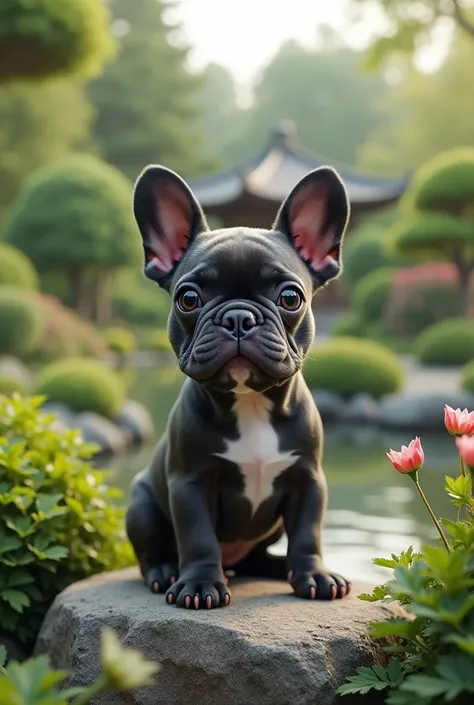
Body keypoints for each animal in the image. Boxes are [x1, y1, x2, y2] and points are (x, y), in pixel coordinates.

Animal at [126, 162, 352, 608]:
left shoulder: (308, 480)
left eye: (290, 298)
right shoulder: (190, 483)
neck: (250, 403)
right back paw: (165, 572)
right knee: (152, 551)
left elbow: (308, 533)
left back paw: (277, 568)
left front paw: (314, 575)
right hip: (140, 503)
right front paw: (199, 585)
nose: (238, 317)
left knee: (258, 557)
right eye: (188, 298)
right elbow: (198, 537)